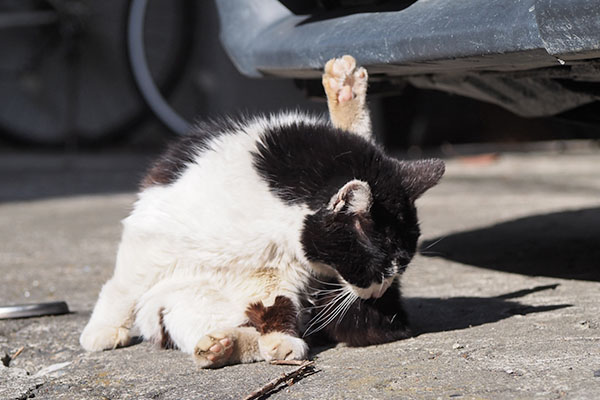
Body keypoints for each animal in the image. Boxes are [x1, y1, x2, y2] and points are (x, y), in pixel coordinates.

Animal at [79, 54, 442, 368]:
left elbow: (276, 303)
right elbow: (124, 287)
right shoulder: (153, 234)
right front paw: (102, 331)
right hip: (175, 304)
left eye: (401, 266)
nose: (380, 290)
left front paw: (281, 340)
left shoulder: (276, 272)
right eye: (376, 266)